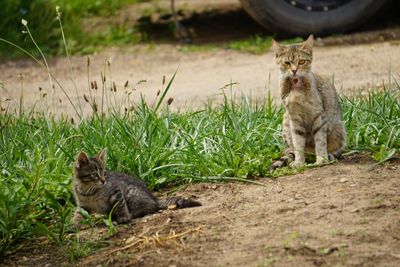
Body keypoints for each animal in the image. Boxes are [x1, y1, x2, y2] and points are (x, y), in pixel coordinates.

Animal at [72, 151, 200, 224]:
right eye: (95, 174)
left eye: (103, 172)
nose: (104, 181)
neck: (89, 191)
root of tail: (154, 197)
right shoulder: (82, 205)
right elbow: (78, 213)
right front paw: (72, 224)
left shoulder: (117, 191)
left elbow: (120, 206)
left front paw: (124, 217)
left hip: (131, 193)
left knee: (152, 207)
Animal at [270, 35, 346, 170]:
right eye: (287, 63)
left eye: (301, 62)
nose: (294, 70)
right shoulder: (294, 118)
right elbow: (298, 143)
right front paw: (299, 162)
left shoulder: (319, 116)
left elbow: (320, 141)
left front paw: (321, 160)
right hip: (286, 123)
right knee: (292, 149)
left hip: (339, 128)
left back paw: (329, 155)